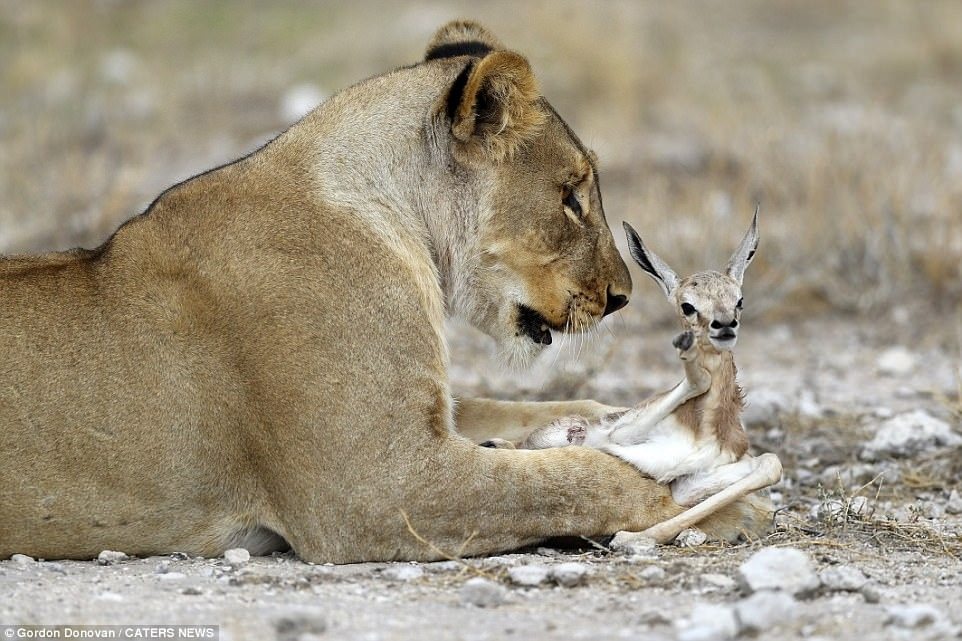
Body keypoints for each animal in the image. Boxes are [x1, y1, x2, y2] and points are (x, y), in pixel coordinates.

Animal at [520, 210, 776, 540]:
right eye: (687, 305)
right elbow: (696, 381)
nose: (724, 325)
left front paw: (638, 538)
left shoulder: (688, 481)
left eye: (739, 300)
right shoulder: (622, 436)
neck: (705, 427)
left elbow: (771, 463)